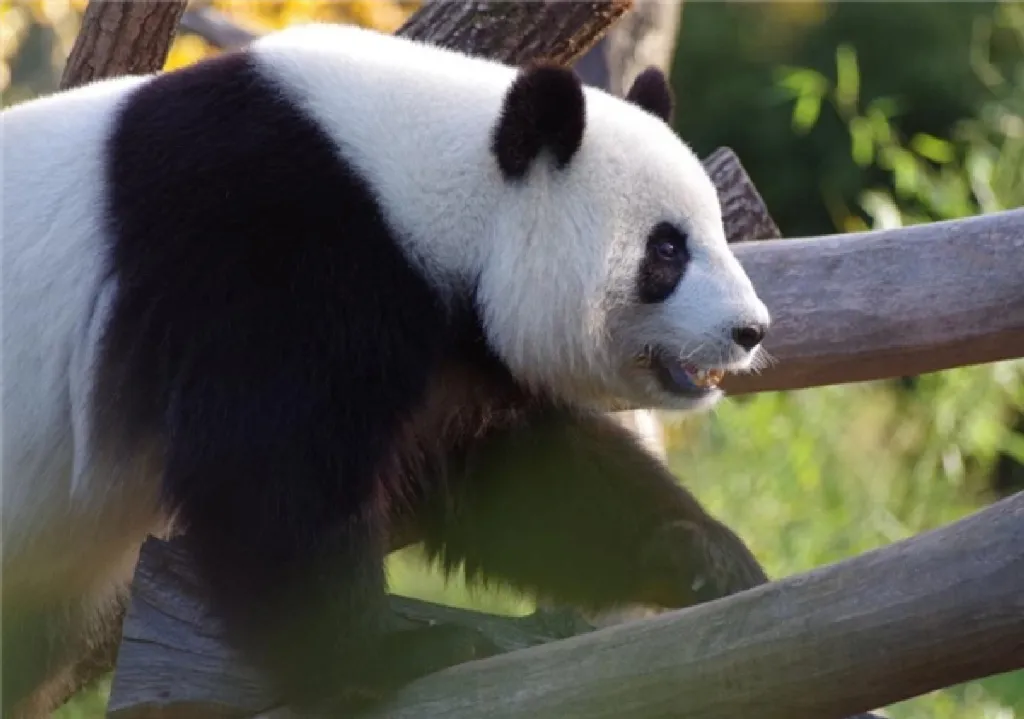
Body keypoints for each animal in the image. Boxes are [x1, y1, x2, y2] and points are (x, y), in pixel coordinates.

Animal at [0, 22, 770, 719]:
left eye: (713, 231)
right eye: (667, 250)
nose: (750, 330)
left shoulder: (445, 345)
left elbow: (513, 475)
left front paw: (706, 557)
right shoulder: (272, 253)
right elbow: (269, 473)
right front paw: (393, 655)